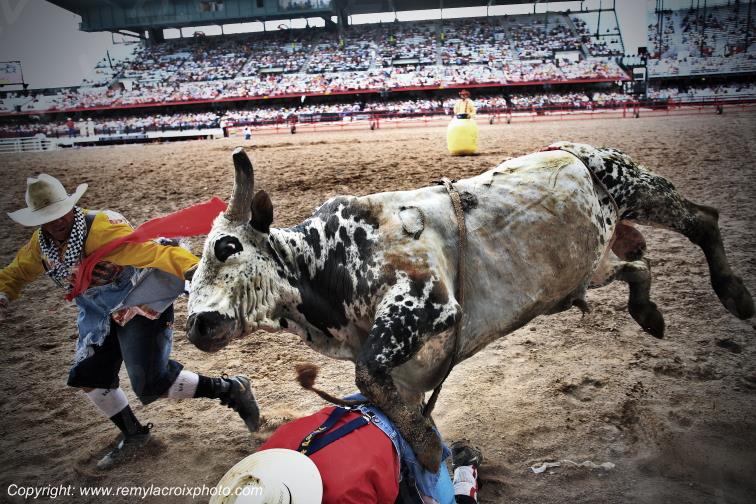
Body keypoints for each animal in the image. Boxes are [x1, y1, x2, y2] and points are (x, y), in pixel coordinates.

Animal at [186, 142, 753, 472]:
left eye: (228, 247)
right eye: (189, 278)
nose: (197, 326)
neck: (329, 258)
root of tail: (580, 149)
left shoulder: (428, 302)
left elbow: (367, 373)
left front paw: (426, 448)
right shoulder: (407, 369)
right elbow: (381, 388)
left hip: (637, 186)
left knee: (703, 218)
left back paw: (734, 293)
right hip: (589, 266)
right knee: (637, 265)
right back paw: (648, 312)